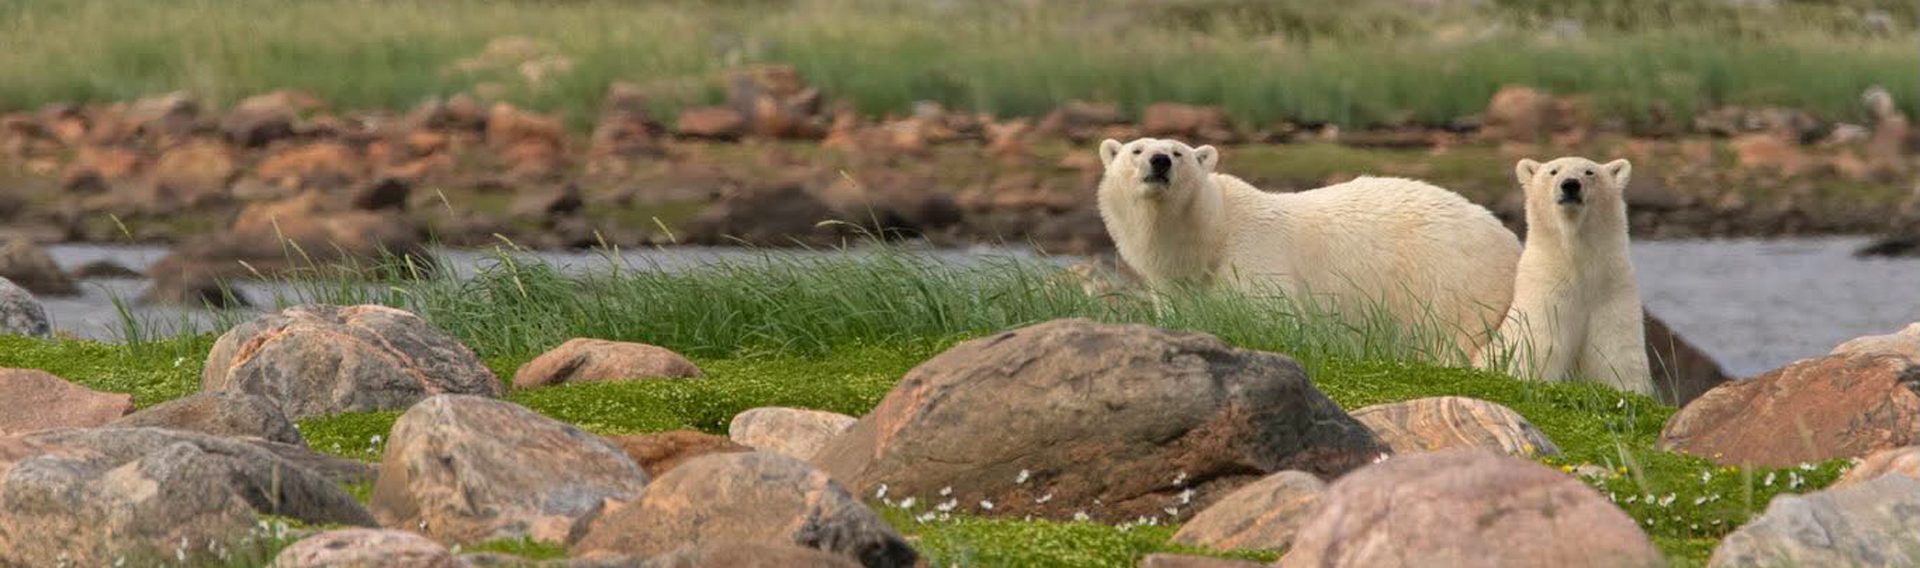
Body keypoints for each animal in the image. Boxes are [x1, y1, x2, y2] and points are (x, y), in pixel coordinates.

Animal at [1095, 137, 1522, 358]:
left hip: (1453, 281)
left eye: (1179, 152)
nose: (1159, 161)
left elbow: (1273, 317)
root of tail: (1509, 238)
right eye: (1136, 149)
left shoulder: (1254, 258)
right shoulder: (1174, 287)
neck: (1211, 233)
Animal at [1477, 156, 1652, 395]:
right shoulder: (1546, 293)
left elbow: (1616, 353)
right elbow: (1538, 348)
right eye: (1553, 171)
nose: (1570, 184)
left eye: (1589, 172)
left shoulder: (1612, 291)